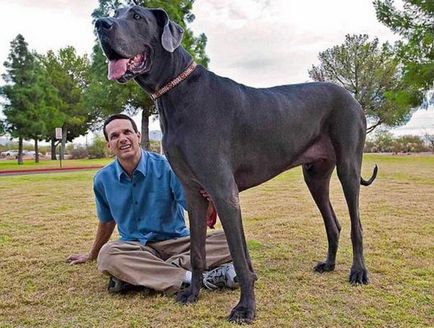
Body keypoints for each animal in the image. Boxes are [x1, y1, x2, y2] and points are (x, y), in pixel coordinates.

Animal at [95, 5, 376, 322]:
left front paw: (246, 307)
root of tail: (351, 97)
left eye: (137, 17)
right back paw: (328, 264)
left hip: (348, 167)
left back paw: (358, 272)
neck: (177, 94)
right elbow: (199, 251)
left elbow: (239, 257)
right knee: (333, 223)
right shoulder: (193, 192)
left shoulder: (223, 192)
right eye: (117, 12)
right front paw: (193, 294)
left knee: (355, 224)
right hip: (315, 176)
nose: (101, 24)